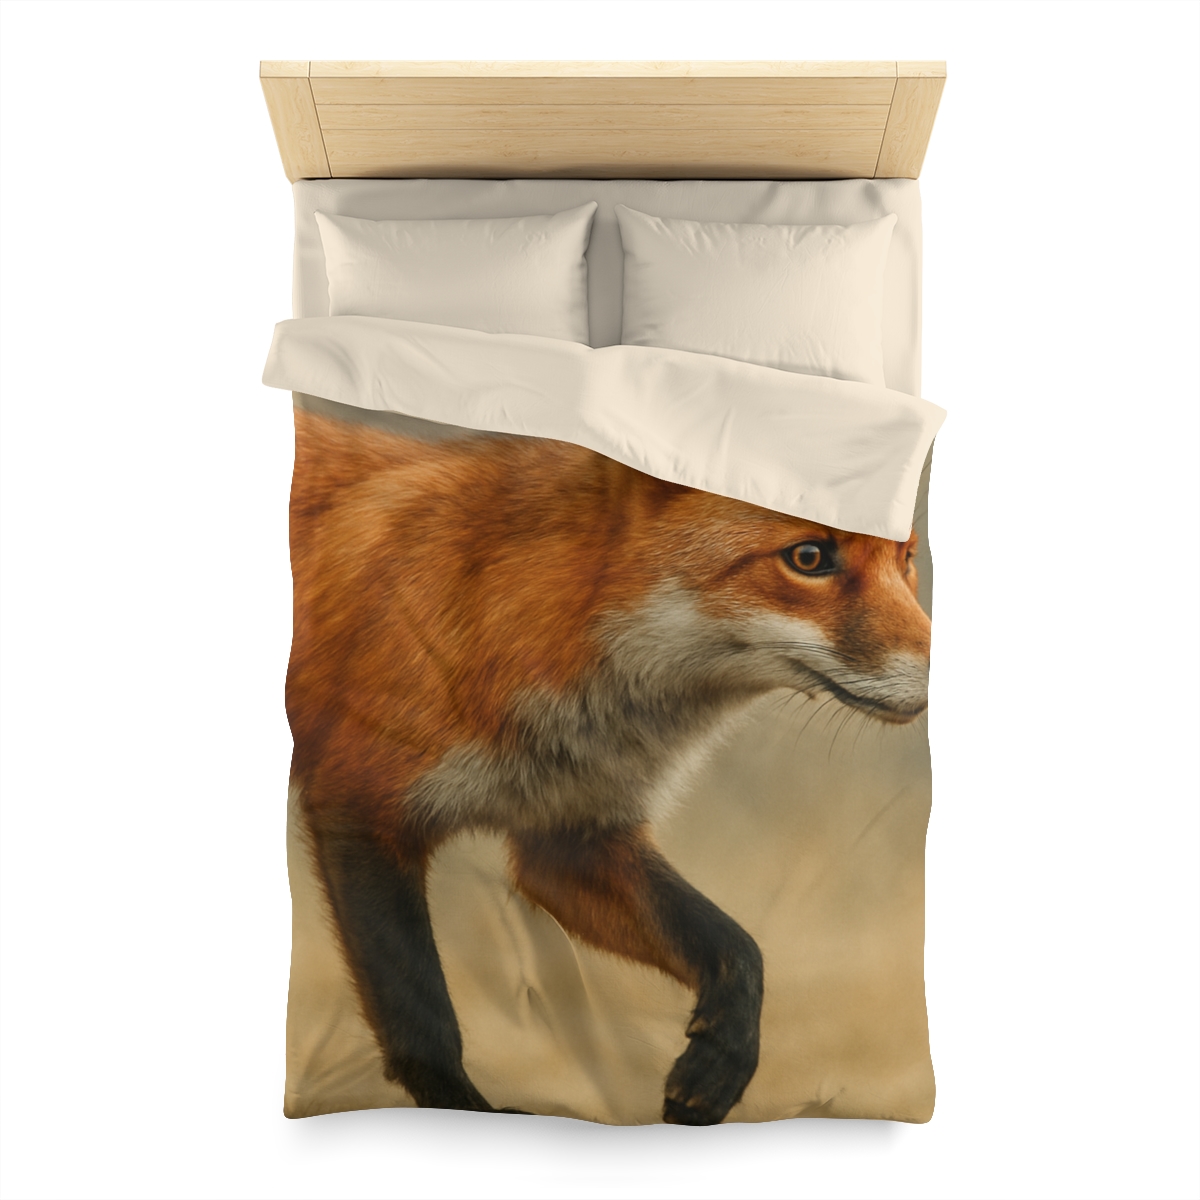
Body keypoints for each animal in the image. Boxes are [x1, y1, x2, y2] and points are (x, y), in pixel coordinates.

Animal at [286, 407, 931, 1126]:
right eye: (809, 558)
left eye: (907, 558)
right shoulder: (360, 809)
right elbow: (422, 1020)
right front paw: (464, 1111)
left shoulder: (572, 838)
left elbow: (736, 946)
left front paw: (720, 1064)